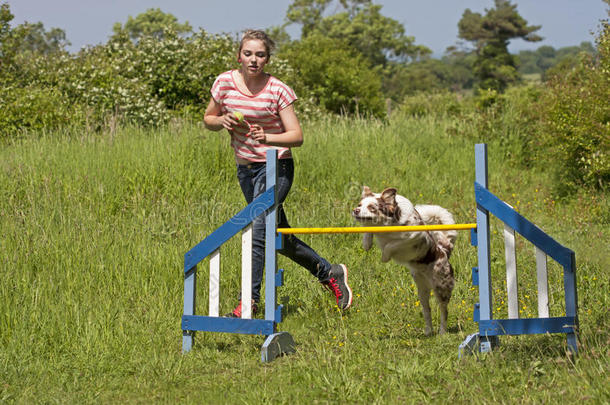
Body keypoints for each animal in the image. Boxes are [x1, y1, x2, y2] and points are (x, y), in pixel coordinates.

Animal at [352, 186, 456, 334]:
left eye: (372, 207)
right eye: (359, 205)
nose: (355, 210)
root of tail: (444, 251)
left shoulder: (415, 236)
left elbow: (392, 244)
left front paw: (385, 257)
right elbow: (369, 231)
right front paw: (366, 243)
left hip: (441, 287)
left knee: (444, 311)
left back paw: (442, 332)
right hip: (422, 290)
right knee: (427, 310)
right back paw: (428, 331)